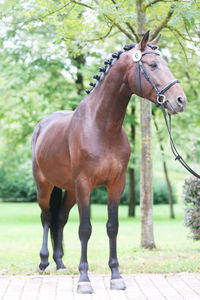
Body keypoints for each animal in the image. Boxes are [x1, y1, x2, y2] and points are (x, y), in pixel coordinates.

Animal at [32, 30, 187, 292]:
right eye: (153, 65)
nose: (180, 100)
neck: (102, 128)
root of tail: (41, 126)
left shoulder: (116, 184)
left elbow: (112, 227)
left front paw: (116, 275)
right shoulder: (85, 184)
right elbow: (85, 229)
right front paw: (84, 280)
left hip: (70, 190)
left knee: (60, 219)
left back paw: (61, 263)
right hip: (45, 186)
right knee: (46, 218)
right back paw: (43, 262)